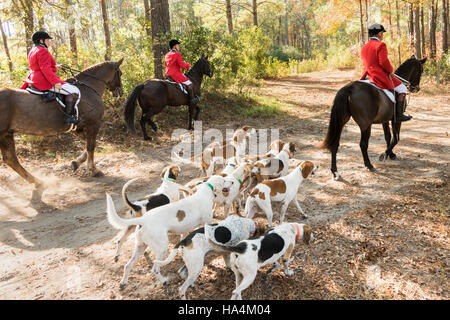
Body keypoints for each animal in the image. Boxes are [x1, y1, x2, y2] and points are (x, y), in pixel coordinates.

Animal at [0, 58, 124, 201]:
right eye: (120, 73)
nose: (121, 92)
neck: (89, 87)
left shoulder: (77, 128)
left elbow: (90, 144)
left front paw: (76, 163)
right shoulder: (93, 124)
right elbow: (91, 146)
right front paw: (93, 170)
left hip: (6, 134)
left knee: (10, 159)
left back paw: (38, 182)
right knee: (11, 159)